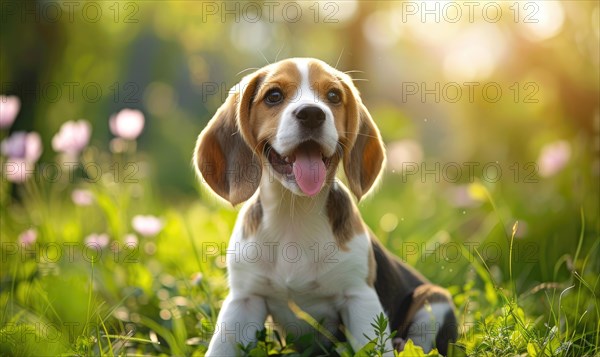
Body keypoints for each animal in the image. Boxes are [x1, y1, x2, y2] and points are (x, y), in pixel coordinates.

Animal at [195, 57, 458, 354]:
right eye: (273, 96)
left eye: (333, 96)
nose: (311, 114)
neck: (294, 213)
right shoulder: (244, 300)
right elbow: (222, 347)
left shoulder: (360, 298)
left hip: (434, 300)